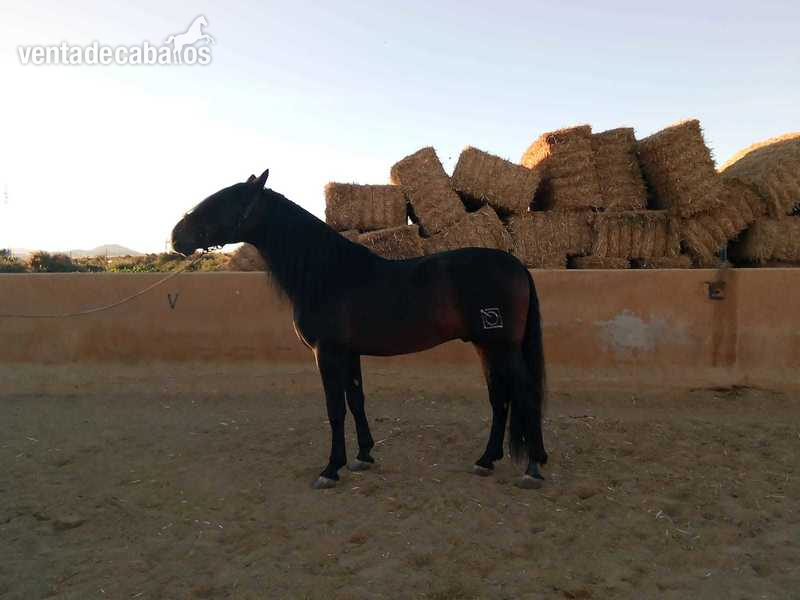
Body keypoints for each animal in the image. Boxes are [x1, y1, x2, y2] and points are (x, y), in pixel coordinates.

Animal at [171, 169, 548, 490]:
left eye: (223, 201)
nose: (177, 236)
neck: (328, 274)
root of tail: (516, 265)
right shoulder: (349, 354)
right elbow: (356, 401)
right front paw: (363, 456)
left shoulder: (327, 353)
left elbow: (335, 409)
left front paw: (330, 469)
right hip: (487, 346)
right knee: (499, 397)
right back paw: (486, 460)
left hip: (502, 347)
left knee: (525, 394)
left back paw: (533, 469)